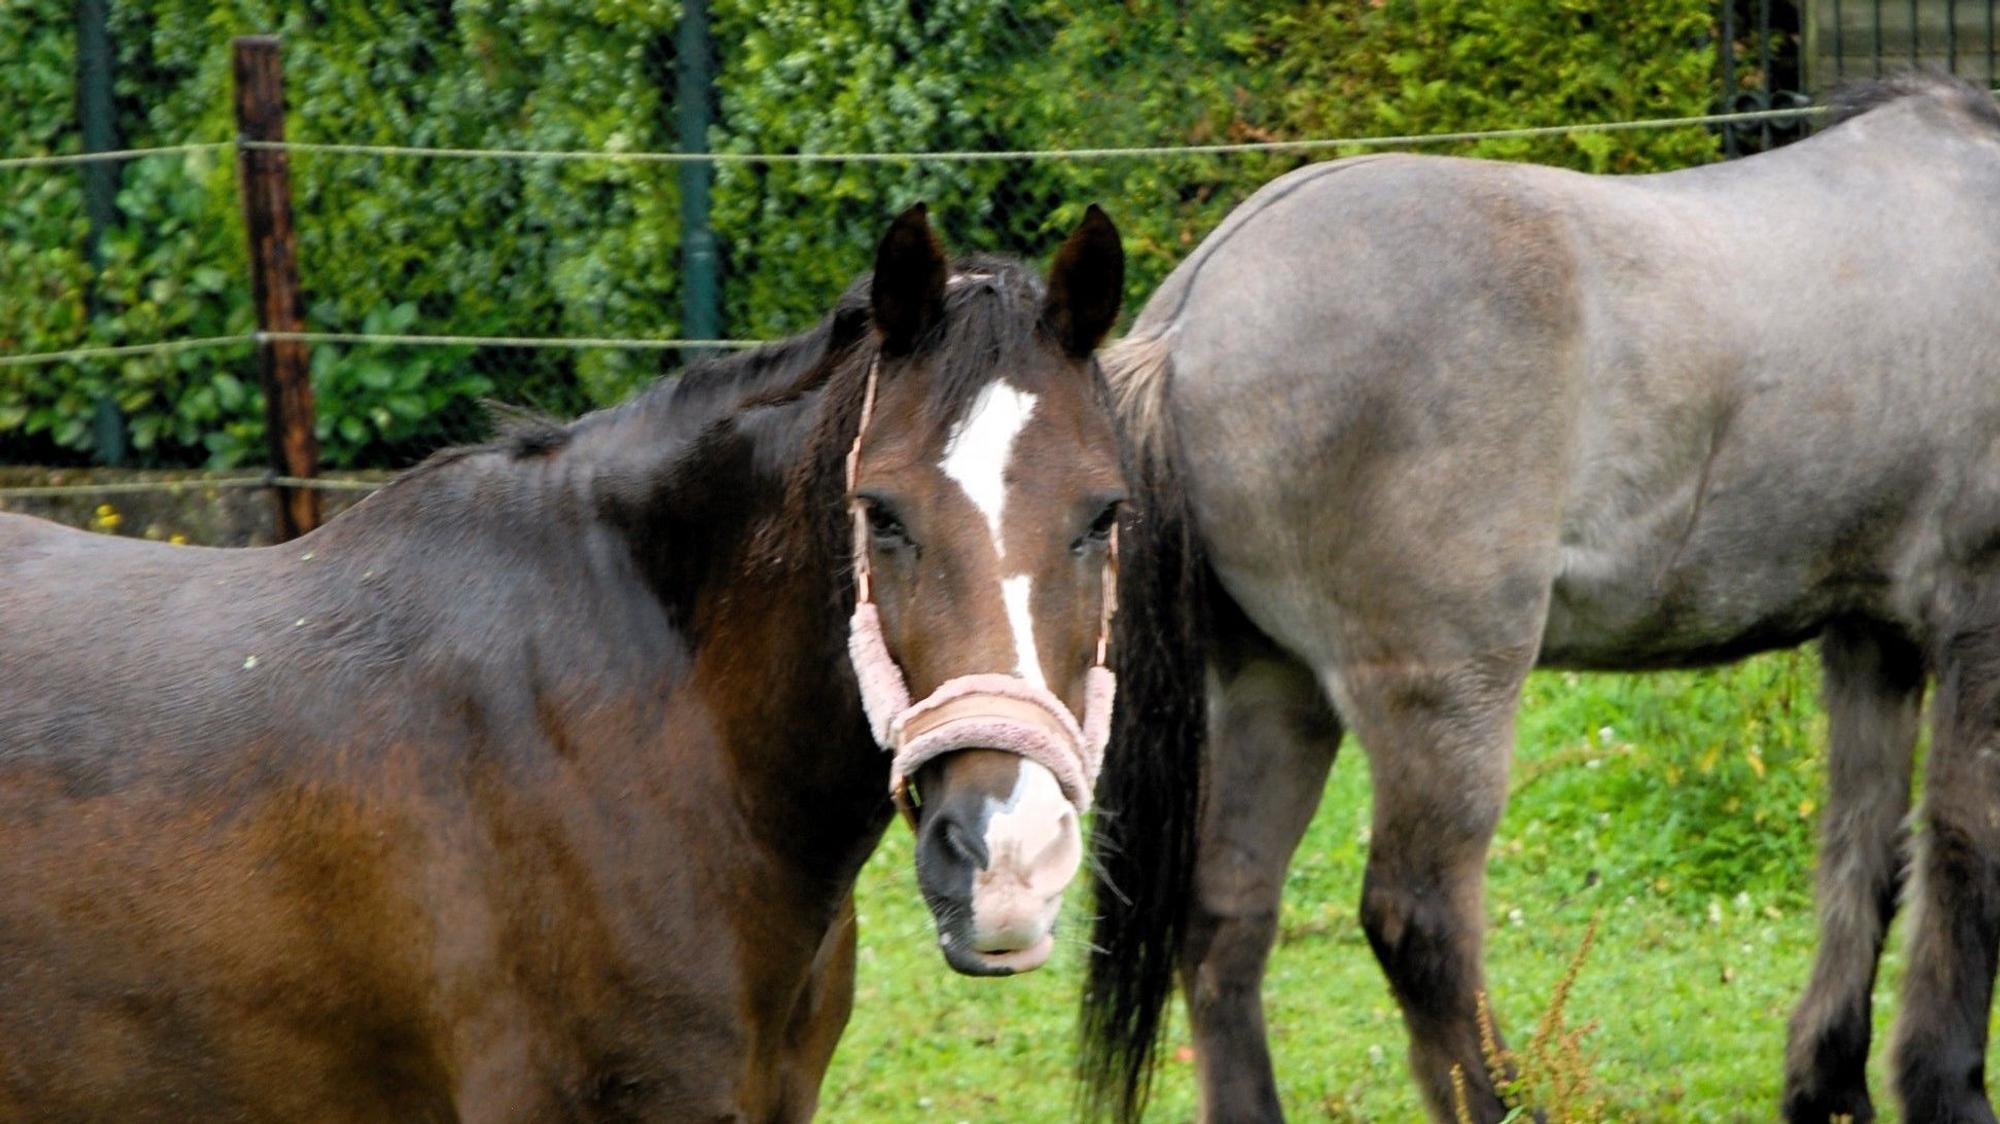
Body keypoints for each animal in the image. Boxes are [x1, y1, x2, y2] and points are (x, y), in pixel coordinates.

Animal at [1080, 74, 2000, 1123]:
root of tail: (1195, 313)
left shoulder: (1870, 636)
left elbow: (1865, 853)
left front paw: (1830, 1086)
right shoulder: (1977, 624)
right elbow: (1967, 853)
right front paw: (1948, 1089)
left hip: (1275, 687)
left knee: (1226, 910)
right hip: (1441, 698)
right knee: (1417, 920)